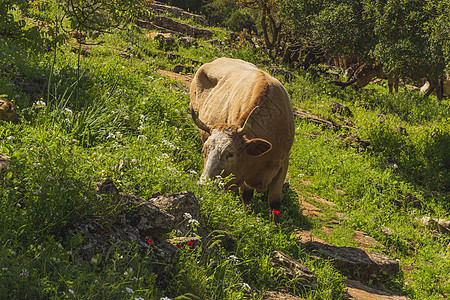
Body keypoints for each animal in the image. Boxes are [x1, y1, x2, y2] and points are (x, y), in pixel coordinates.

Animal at [190, 56, 296, 223]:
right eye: (204, 150)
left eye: (230, 153)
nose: (203, 184)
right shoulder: (246, 170)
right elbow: (246, 195)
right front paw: (247, 217)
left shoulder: (284, 162)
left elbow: (275, 201)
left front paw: (276, 226)